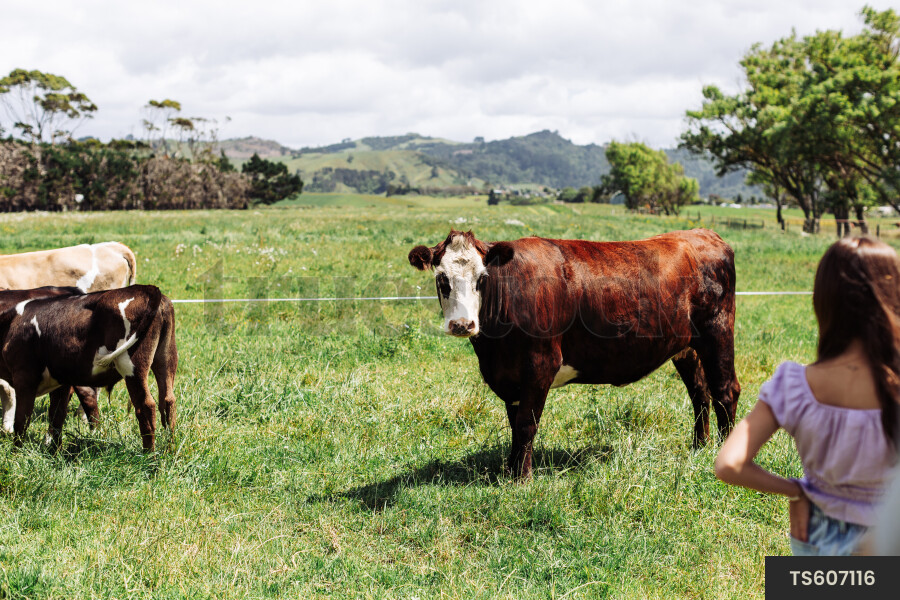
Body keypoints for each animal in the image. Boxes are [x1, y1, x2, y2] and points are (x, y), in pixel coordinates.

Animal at [0, 284, 177, 450]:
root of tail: (146, 288)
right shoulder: (61, 381)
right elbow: (57, 417)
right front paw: (54, 452)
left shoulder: (24, 378)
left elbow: (22, 421)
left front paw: (17, 453)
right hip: (166, 357)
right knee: (167, 401)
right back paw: (169, 451)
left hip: (132, 365)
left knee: (146, 406)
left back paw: (150, 458)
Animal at [409, 229, 741, 478]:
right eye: (442, 279)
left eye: (482, 278)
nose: (462, 324)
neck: (494, 348)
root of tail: (703, 233)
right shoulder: (509, 376)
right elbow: (515, 423)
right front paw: (510, 469)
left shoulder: (540, 365)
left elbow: (527, 423)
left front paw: (521, 478)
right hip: (687, 347)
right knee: (700, 394)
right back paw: (698, 446)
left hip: (718, 331)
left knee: (725, 391)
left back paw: (723, 452)